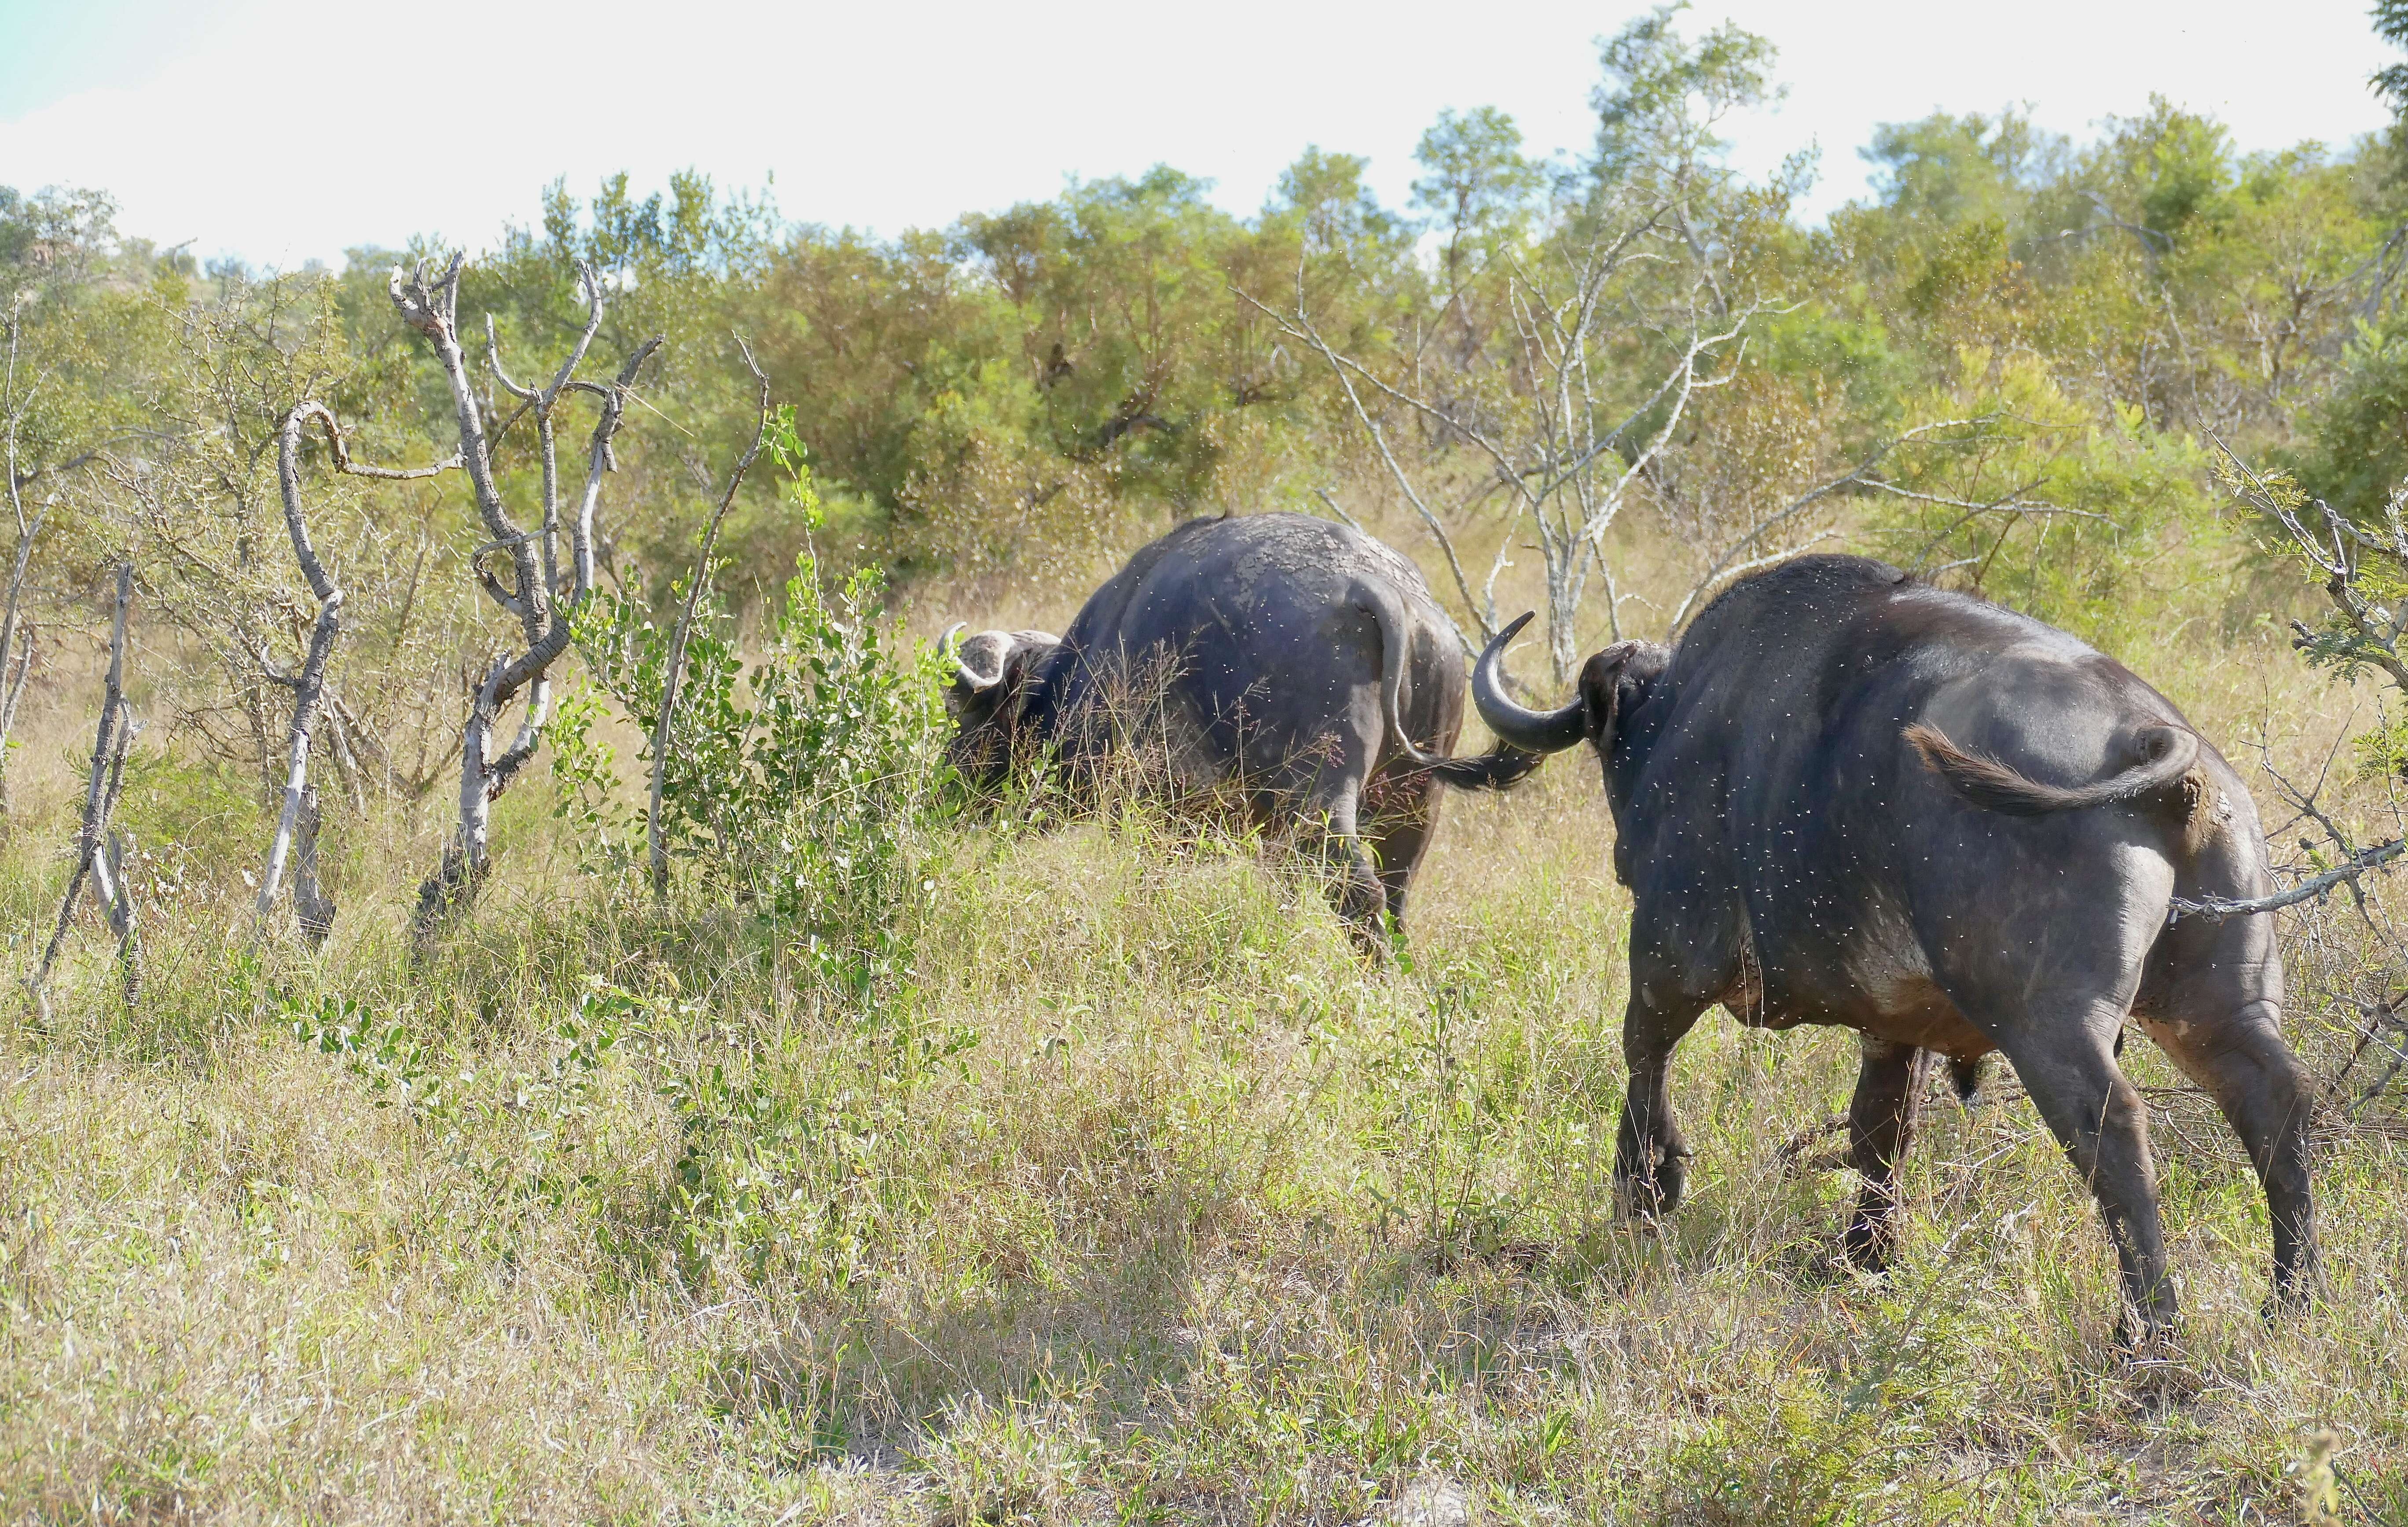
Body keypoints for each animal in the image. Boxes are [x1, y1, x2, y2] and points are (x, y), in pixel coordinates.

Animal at [944, 510, 1531, 953]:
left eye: (964, 717)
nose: (941, 792)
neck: (1085, 670)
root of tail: (1372, 586)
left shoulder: (1155, 820)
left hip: (1316, 799)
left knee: (1359, 892)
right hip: (1414, 799)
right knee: (1396, 895)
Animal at [1473, 554, 2321, 1339]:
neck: (1687, 716)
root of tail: (2153, 743)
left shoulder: (1666, 957)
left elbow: (1642, 1062)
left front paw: (1645, 1189)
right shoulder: (1893, 1023)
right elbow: (1879, 1129)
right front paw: (1867, 1253)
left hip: (2049, 1024)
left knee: (2113, 1129)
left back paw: (2148, 1326)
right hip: (2215, 1004)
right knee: (2273, 1099)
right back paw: (2290, 1298)